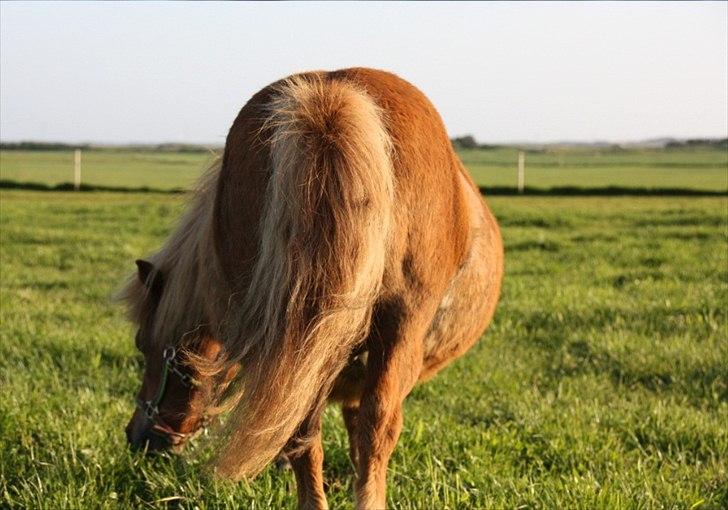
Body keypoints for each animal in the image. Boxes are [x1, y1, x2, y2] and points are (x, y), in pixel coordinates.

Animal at [122, 68, 504, 510]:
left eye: (145, 346)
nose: (139, 439)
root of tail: (329, 96)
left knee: (309, 428)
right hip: (396, 325)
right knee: (372, 424)